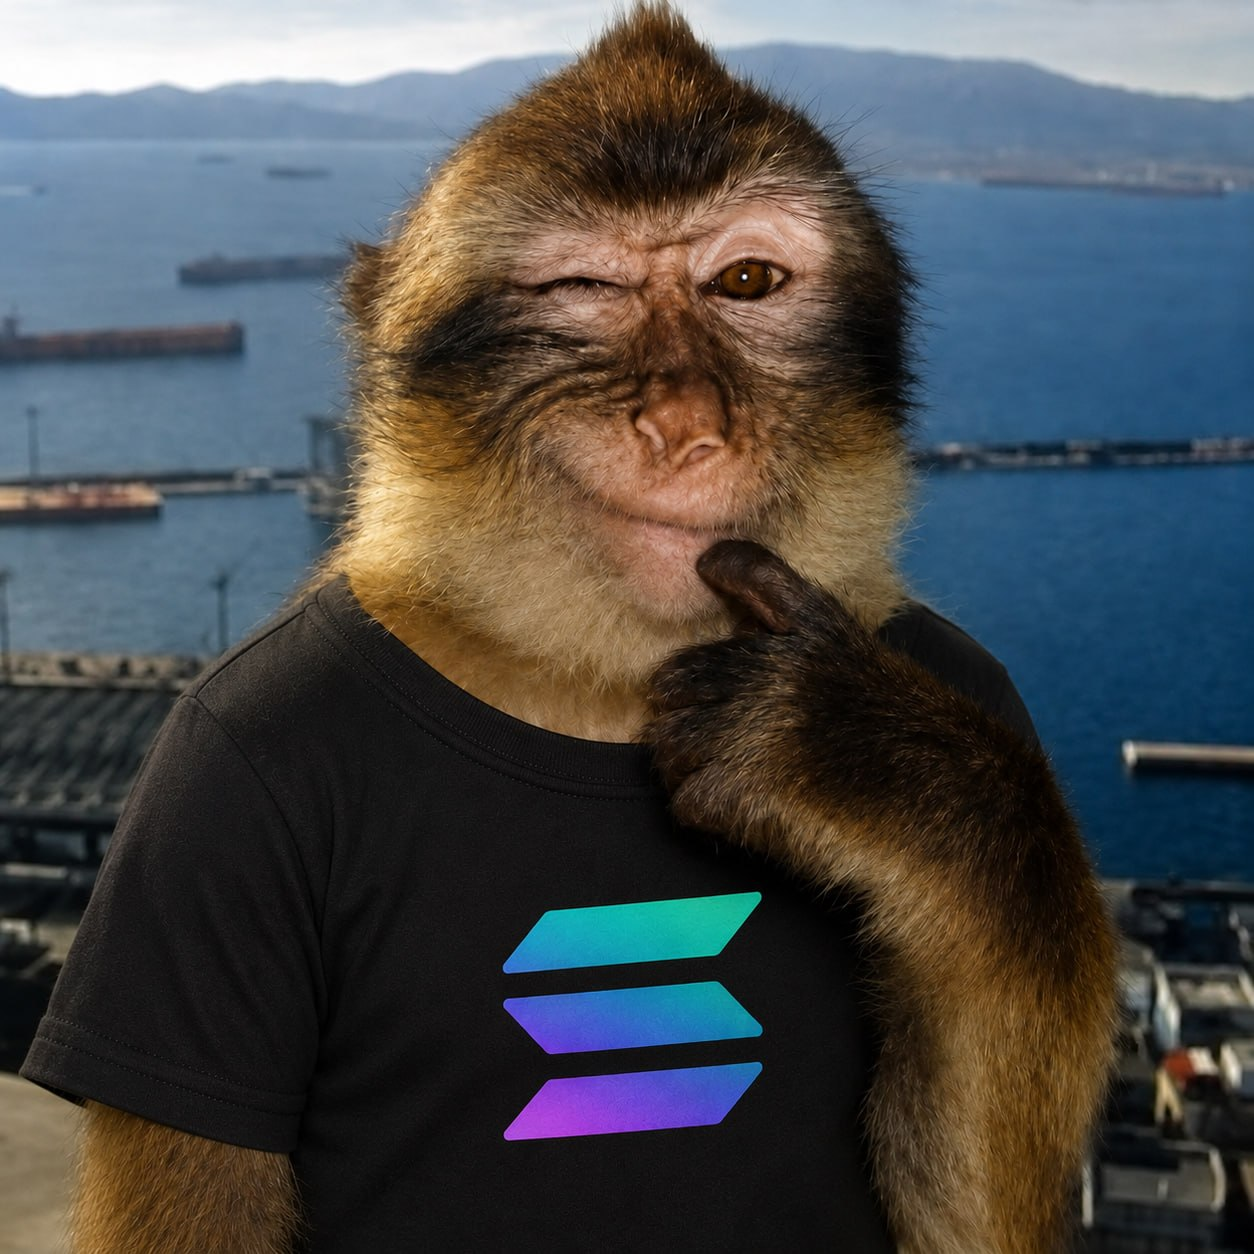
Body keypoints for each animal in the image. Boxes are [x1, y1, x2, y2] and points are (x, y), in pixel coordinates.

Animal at [22, 5, 1117, 1252]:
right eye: (584, 285)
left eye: (749, 280)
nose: (685, 420)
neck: (594, 679)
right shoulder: (211, 796)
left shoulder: (977, 681)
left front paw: (851, 755)